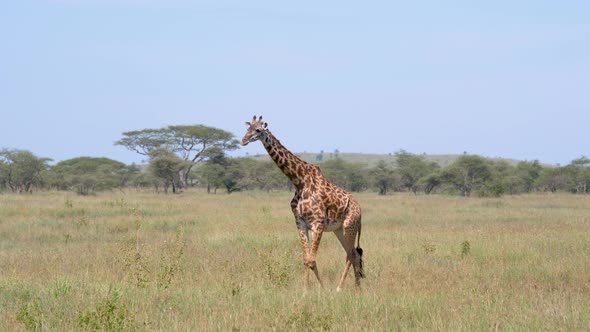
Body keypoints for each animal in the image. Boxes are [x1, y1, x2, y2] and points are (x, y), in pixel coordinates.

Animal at [242, 115, 366, 290]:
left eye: (258, 130)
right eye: (247, 128)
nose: (243, 140)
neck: (299, 181)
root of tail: (360, 211)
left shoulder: (317, 223)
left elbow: (311, 260)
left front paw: (321, 288)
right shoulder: (300, 222)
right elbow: (306, 259)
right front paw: (305, 290)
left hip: (349, 227)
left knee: (351, 254)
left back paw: (340, 288)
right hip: (338, 230)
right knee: (353, 253)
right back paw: (356, 288)